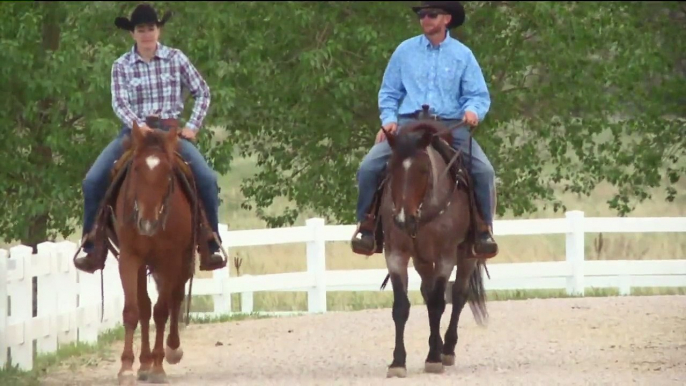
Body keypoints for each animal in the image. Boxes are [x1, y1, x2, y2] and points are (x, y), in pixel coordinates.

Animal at [113, 121, 202, 386]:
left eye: (168, 173)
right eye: (136, 169)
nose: (147, 223)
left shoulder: (170, 259)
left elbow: (162, 310)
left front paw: (159, 367)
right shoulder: (129, 258)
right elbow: (133, 310)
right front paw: (126, 368)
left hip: (183, 261)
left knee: (175, 298)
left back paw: (171, 350)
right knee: (145, 306)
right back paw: (144, 362)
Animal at [382, 119, 490, 378]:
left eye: (423, 170)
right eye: (391, 168)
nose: (403, 219)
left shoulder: (445, 257)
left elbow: (439, 303)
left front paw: (433, 358)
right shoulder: (395, 254)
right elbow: (401, 307)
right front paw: (397, 362)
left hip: (467, 255)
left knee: (458, 295)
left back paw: (447, 349)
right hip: (421, 259)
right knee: (427, 291)